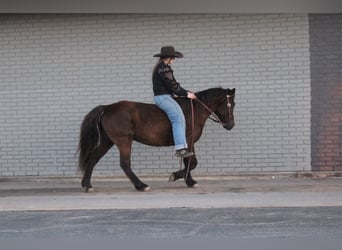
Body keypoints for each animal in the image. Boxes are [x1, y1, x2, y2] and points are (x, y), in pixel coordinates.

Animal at [78, 87, 235, 192]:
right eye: (230, 104)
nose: (231, 125)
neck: (194, 110)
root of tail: (107, 108)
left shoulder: (187, 144)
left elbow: (188, 161)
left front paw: (189, 181)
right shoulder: (188, 141)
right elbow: (193, 162)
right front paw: (175, 176)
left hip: (107, 141)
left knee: (93, 159)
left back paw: (87, 185)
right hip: (123, 141)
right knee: (125, 164)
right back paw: (141, 185)